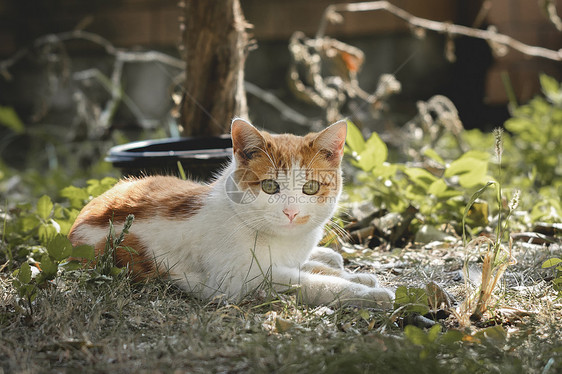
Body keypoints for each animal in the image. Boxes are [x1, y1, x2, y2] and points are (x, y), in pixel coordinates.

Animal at [69, 118, 394, 308]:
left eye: (311, 188)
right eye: (270, 186)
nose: (291, 212)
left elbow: (307, 270)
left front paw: (358, 278)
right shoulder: (237, 281)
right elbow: (311, 283)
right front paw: (368, 294)